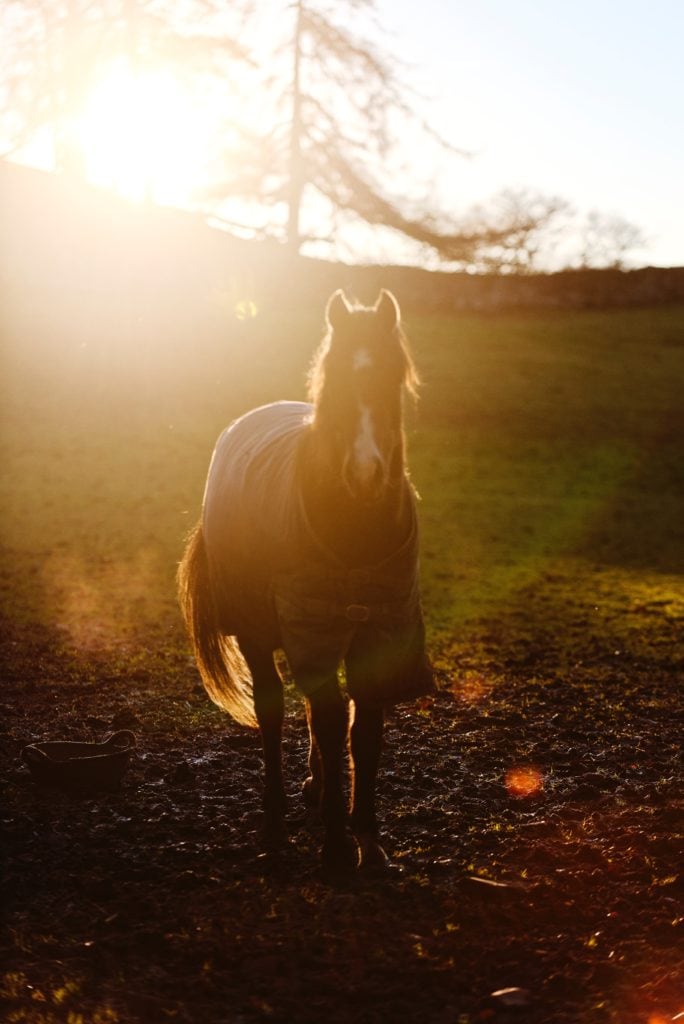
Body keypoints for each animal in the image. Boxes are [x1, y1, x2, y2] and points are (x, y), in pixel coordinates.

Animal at [176, 290, 432, 880]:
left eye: (392, 378)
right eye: (332, 382)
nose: (365, 475)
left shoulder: (379, 632)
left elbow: (363, 732)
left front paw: (368, 842)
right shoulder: (308, 628)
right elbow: (333, 722)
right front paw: (337, 847)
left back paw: (315, 789)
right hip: (256, 628)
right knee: (273, 710)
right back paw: (274, 821)